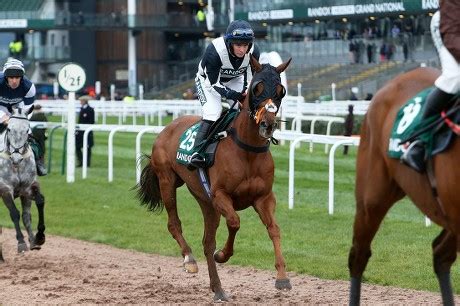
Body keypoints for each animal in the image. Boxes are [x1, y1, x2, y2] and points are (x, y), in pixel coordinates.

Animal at [0, 106, 44, 262]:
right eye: (9, 129)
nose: (17, 158)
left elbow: (36, 206)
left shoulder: (28, 188)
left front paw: (37, 238)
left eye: (27, 130)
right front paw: (21, 243)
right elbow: (14, 213)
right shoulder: (5, 189)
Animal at [137, 55, 292, 302]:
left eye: (280, 90)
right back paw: (189, 259)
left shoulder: (264, 198)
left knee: (207, 242)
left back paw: (218, 289)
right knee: (174, 223)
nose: (267, 124)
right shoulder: (220, 195)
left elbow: (274, 229)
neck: (247, 150)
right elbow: (235, 222)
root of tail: (167, 128)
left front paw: (282, 278)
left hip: (206, 202)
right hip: (167, 182)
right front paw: (223, 255)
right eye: (257, 88)